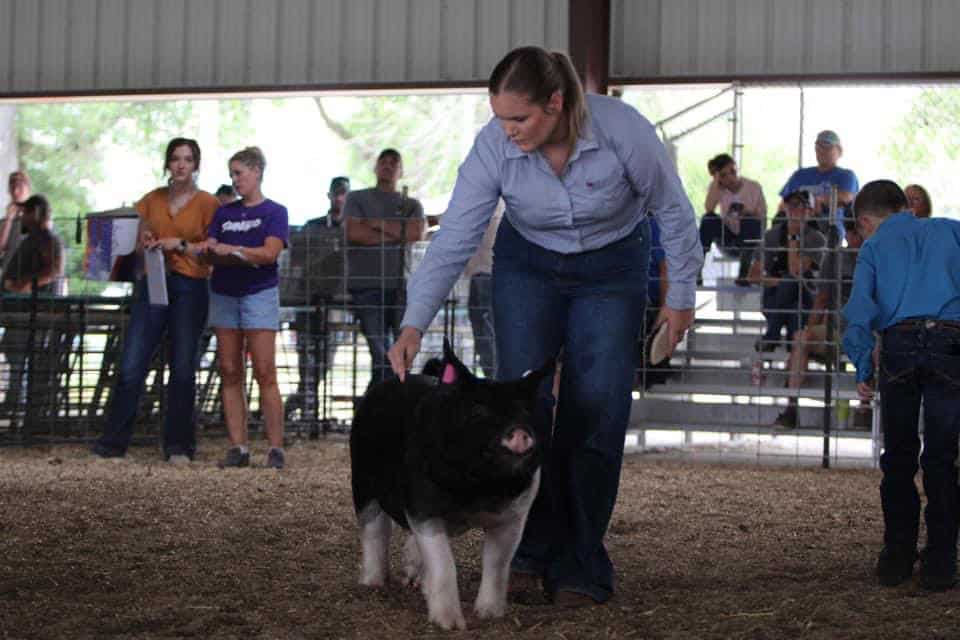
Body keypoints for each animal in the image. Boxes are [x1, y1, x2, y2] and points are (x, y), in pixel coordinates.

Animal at [348, 340, 552, 632]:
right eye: (478, 410)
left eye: (525, 410)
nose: (519, 432)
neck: (480, 489)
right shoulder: (422, 506)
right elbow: (444, 563)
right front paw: (451, 625)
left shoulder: (514, 517)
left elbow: (497, 564)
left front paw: (490, 615)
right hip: (362, 480)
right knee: (374, 530)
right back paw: (373, 583)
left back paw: (413, 581)